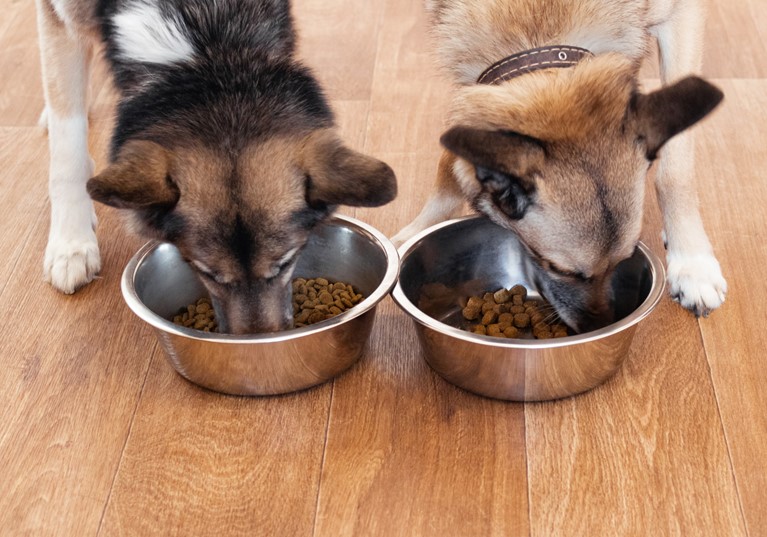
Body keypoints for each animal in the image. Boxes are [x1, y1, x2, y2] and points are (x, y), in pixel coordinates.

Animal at [36, 1, 396, 330]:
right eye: (207, 273)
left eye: (285, 264)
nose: (257, 346)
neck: (208, 46)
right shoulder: (59, 17)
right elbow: (67, 147)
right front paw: (71, 244)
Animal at [396, 0, 728, 332]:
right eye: (557, 268)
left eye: (624, 259)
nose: (597, 326)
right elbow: (448, 165)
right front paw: (408, 238)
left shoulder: (683, 15)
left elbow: (675, 171)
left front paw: (693, 263)